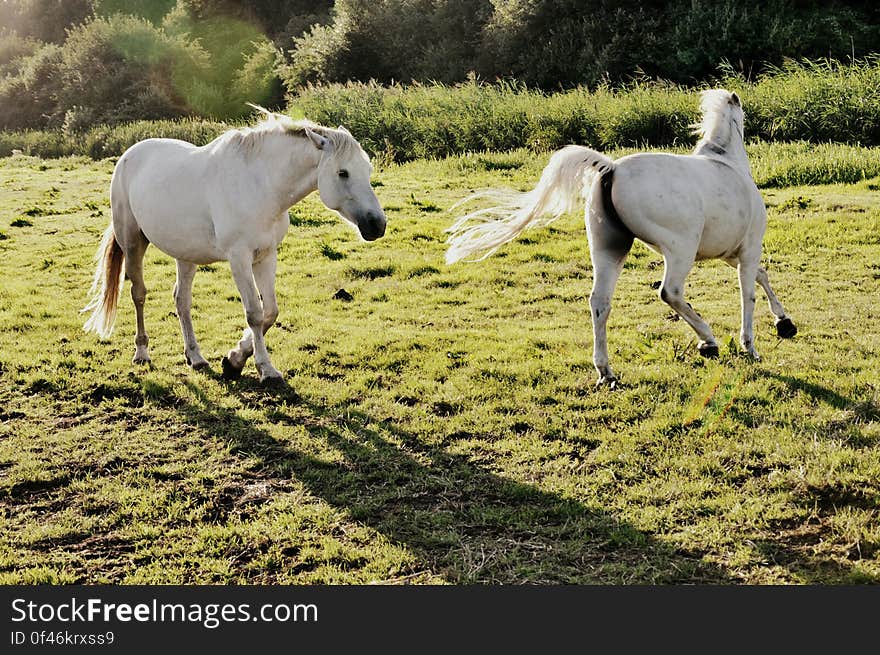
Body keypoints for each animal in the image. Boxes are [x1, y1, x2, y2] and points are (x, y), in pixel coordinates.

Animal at [82, 107, 384, 384]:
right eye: (343, 173)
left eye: (367, 170)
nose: (377, 225)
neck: (260, 186)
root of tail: (128, 156)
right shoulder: (239, 258)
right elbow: (254, 313)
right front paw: (265, 369)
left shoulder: (266, 256)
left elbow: (270, 311)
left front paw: (235, 359)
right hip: (133, 242)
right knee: (139, 294)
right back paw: (142, 353)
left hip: (185, 255)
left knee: (182, 300)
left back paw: (196, 357)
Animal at [446, 87, 796, 384]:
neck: (727, 163)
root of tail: (611, 169)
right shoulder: (747, 249)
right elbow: (748, 292)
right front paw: (751, 346)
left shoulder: (728, 253)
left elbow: (762, 276)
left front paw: (785, 323)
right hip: (680, 248)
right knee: (670, 292)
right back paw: (707, 342)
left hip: (609, 249)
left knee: (599, 302)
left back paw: (606, 372)